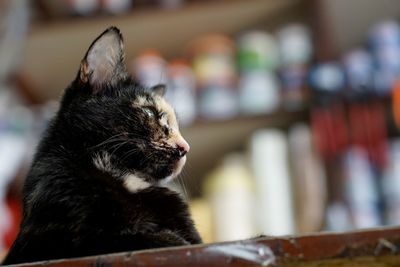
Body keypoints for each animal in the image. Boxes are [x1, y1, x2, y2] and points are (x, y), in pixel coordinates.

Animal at [2, 26, 203, 266]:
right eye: (149, 112)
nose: (185, 148)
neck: (123, 176)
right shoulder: (65, 241)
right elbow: (142, 239)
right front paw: (171, 240)